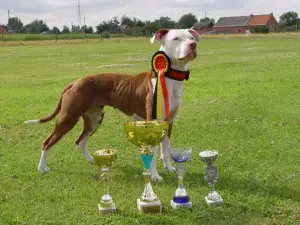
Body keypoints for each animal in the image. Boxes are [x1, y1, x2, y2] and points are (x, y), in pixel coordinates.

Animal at [24, 28, 200, 181]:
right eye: (176, 38)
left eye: (191, 38)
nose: (193, 45)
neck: (168, 77)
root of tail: (75, 82)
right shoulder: (153, 121)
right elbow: (155, 151)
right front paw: (155, 176)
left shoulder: (168, 122)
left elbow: (166, 149)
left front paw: (170, 168)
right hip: (68, 117)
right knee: (47, 142)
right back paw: (42, 168)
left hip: (94, 118)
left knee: (80, 141)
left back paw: (92, 160)